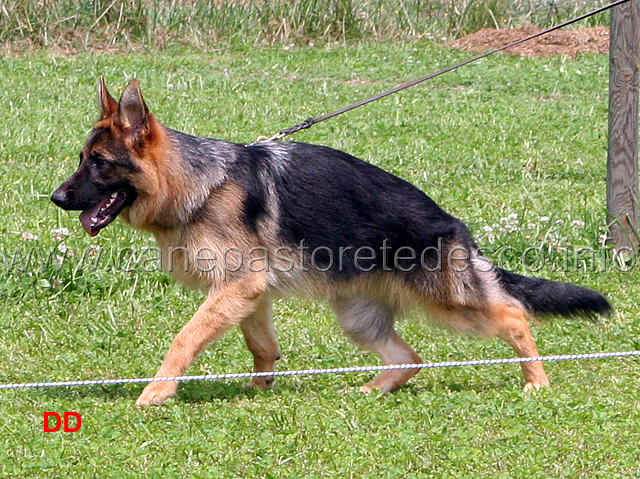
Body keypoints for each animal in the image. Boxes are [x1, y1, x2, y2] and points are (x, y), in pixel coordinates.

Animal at [51, 79, 608, 404]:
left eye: (98, 162)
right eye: (83, 159)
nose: (56, 198)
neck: (198, 183)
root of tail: (452, 223)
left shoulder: (237, 287)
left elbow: (185, 338)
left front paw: (158, 390)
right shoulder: (246, 293)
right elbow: (261, 345)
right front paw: (260, 387)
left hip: (449, 302)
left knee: (513, 316)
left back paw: (536, 381)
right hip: (358, 315)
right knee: (409, 358)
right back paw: (371, 388)